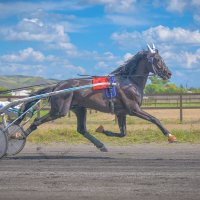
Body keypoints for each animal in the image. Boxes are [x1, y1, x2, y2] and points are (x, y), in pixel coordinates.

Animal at [16, 44, 177, 152]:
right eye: (158, 59)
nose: (169, 73)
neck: (129, 81)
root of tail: (57, 86)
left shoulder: (122, 112)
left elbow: (123, 133)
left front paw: (103, 130)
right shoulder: (134, 109)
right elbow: (155, 119)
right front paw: (170, 136)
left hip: (79, 109)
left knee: (81, 129)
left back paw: (101, 145)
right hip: (59, 110)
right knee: (36, 122)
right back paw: (19, 135)